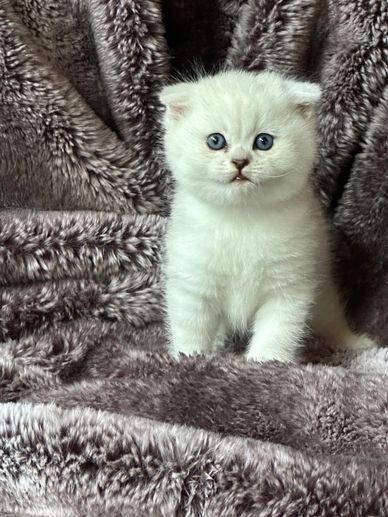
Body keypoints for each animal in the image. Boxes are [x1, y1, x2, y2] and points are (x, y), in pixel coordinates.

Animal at [159, 68, 378, 360]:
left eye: (263, 142)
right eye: (216, 141)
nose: (240, 161)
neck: (241, 218)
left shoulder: (289, 285)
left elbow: (278, 330)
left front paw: (266, 360)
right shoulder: (193, 282)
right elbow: (191, 327)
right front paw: (189, 356)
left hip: (322, 285)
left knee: (331, 319)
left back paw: (352, 341)